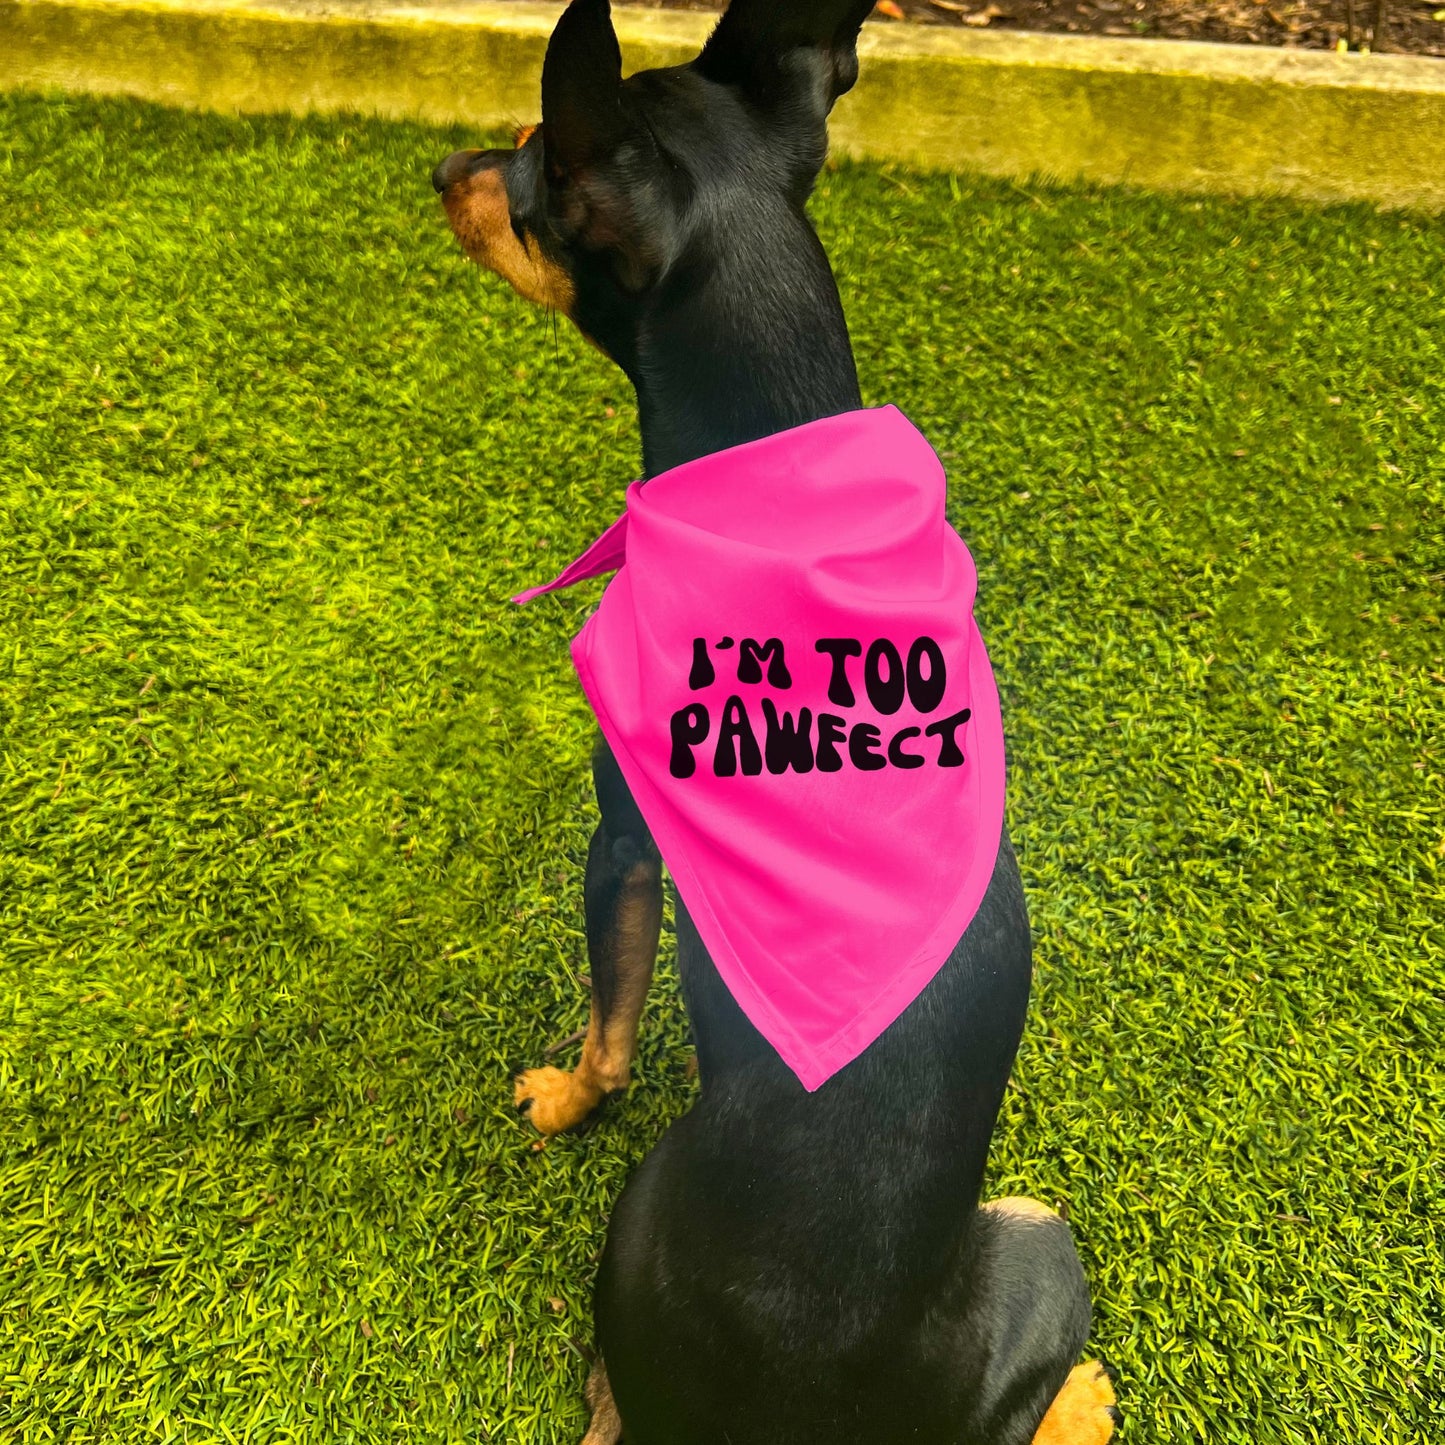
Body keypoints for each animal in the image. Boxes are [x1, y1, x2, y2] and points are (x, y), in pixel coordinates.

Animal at [427, 5, 1115, 1439]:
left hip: (1022, 1229)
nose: (438, 166)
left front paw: (561, 1096)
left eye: (525, 164)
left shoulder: (620, 839)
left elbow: (610, 1022)